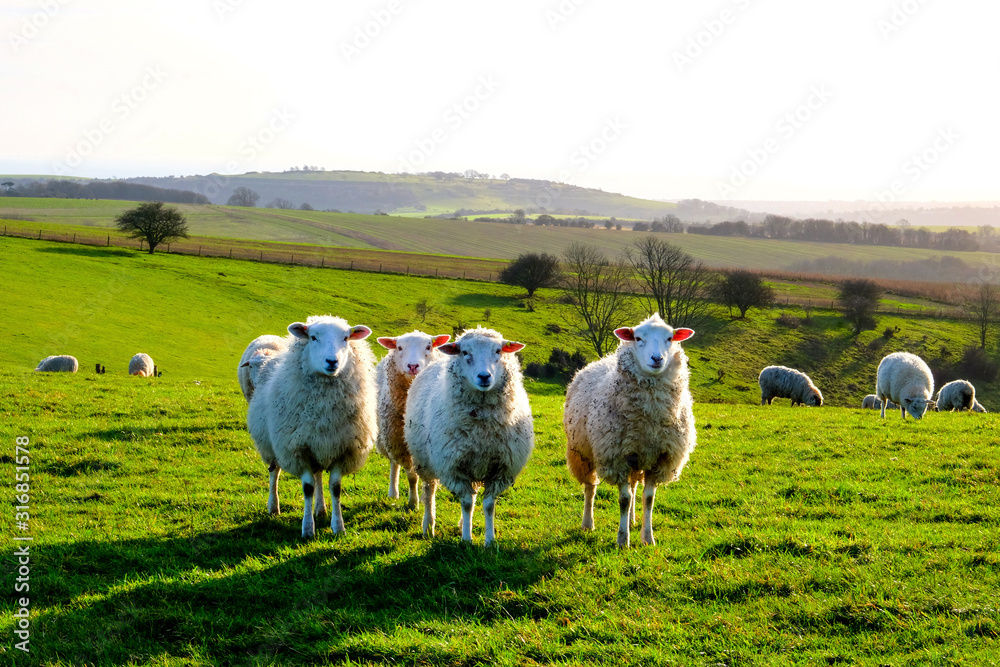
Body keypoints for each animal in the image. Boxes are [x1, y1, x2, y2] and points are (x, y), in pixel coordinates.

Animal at [247, 315, 377, 538]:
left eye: (346, 338)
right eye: (313, 337)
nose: (332, 361)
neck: (324, 411)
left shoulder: (341, 449)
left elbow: (335, 487)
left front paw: (338, 527)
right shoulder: (298, 450)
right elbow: (307, 488)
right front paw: (308, 529)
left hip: (320, 445)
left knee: (318, 476)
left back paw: (321, 509)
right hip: (272, 446)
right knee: (274, 473)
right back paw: (273, 507)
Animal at [374, 330, 451, 508]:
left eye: (429, 346)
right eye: (400, 347)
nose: (413, 366)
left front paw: (422, 499)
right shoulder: (402, 446)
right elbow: (411, 476)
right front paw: (413, 503)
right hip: (388, 438)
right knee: (393, 464)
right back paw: (393, 492)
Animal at [405, 327, 532, 546]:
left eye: (498, 351)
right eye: (465, 352)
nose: (484, 376)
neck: (481, 431)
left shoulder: (500, 470)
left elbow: (488, 505)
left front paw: (489, 541)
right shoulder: (454, 468)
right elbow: (466, 503)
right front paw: (466, 539)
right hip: (425, 461)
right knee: (429, 491)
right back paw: (428, 526)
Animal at [564, 313, 697, 548]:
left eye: (670, 338)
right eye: (638, 338)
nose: (657, 359)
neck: (649, 421)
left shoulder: (659, 458)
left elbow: (648, 499)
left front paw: (648, 538)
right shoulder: (617, 458)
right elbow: (624, 500)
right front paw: (622, 539)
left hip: (637, 457)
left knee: (634, 487)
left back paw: (634, 520)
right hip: (583, 454)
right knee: (590, 488)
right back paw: (588, 523)